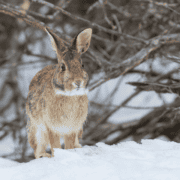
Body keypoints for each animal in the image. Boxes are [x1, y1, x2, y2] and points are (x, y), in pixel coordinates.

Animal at [26, 27, 92, 158]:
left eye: (82, 65)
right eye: (62, 67)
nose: (78, 82)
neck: (68, 94)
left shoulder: (72, 128)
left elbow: (68, 145)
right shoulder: (51, 127)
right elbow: (55, 145)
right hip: (37, 131)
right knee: (37, 149)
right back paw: (44, 156)